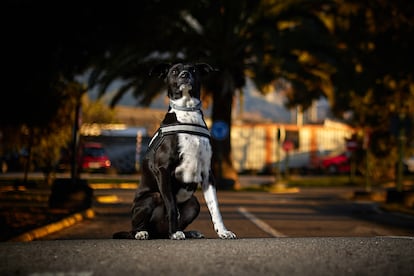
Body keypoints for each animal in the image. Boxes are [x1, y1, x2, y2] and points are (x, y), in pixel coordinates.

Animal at [113, 62, 236, 239]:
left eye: (193, 69)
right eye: (174, 71)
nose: (185, 75)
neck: (188, 113)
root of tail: (157, 233)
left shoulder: (207, 173)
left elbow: (215, 207)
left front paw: (223, 231)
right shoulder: (163, 169)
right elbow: (171, 205)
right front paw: (176, 233)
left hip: (193, 203)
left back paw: (187, 232)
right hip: (151, 197)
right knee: (136, 227)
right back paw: (143, 232)